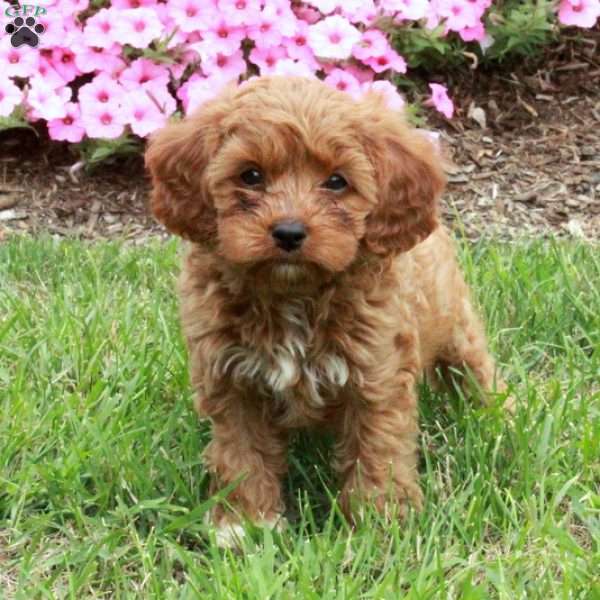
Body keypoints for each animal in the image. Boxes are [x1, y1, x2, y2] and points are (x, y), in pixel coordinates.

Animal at [145, 76, 506, 544]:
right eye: (251, 175)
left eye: (337, 182)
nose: (288, 232)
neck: (292, 293)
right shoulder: (231, 380)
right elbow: (242, 454)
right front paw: (245, 522)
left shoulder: (377, 376)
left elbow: (378, 451)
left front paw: (378, 522)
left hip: (457, 327)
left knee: (476, 372)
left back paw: (501, 417)